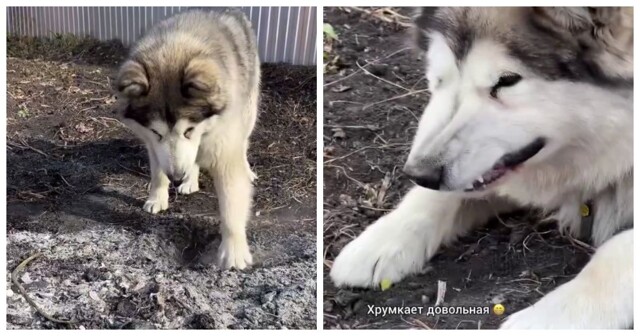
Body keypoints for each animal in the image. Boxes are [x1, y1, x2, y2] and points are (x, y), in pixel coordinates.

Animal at [116, 9, 258, 270]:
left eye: (189, 130)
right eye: (157, 132)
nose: (177, 177)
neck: (174, 46)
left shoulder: (224, 147)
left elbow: (231, 204)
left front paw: (233, 250)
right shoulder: (153, 145)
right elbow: (157, 172)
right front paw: (158, 196)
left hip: (249, 109)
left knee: (244, 142)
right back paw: (190, 180)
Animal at [332, 7, 632, 328]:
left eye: (507, 81)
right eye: (439, 77)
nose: (420, 174)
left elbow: (619, 251)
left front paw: (553, 316)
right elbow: (441, 196)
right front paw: (384, 239)